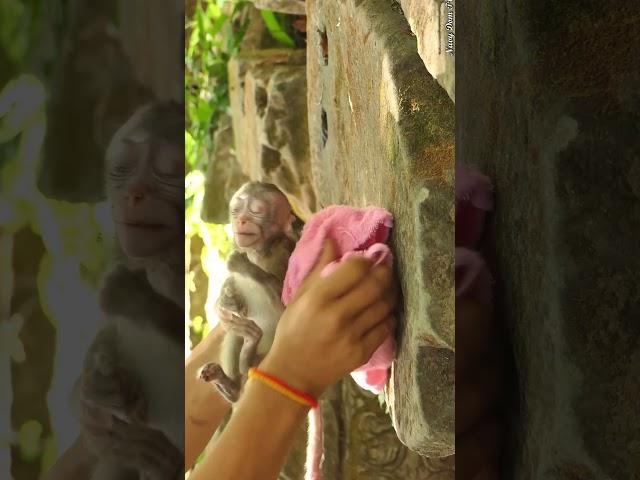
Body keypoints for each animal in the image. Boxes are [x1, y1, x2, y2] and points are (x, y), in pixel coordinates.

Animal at [200, 182, 298, 404]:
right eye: (236, 211)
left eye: (256, 211)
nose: (241, 220)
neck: (258, 253)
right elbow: (228, 307)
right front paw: (225, 301)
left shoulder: (282, 252)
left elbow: (288, 307)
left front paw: (241, 264)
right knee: (235, 331)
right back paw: (232, 386)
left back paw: (248, 358)